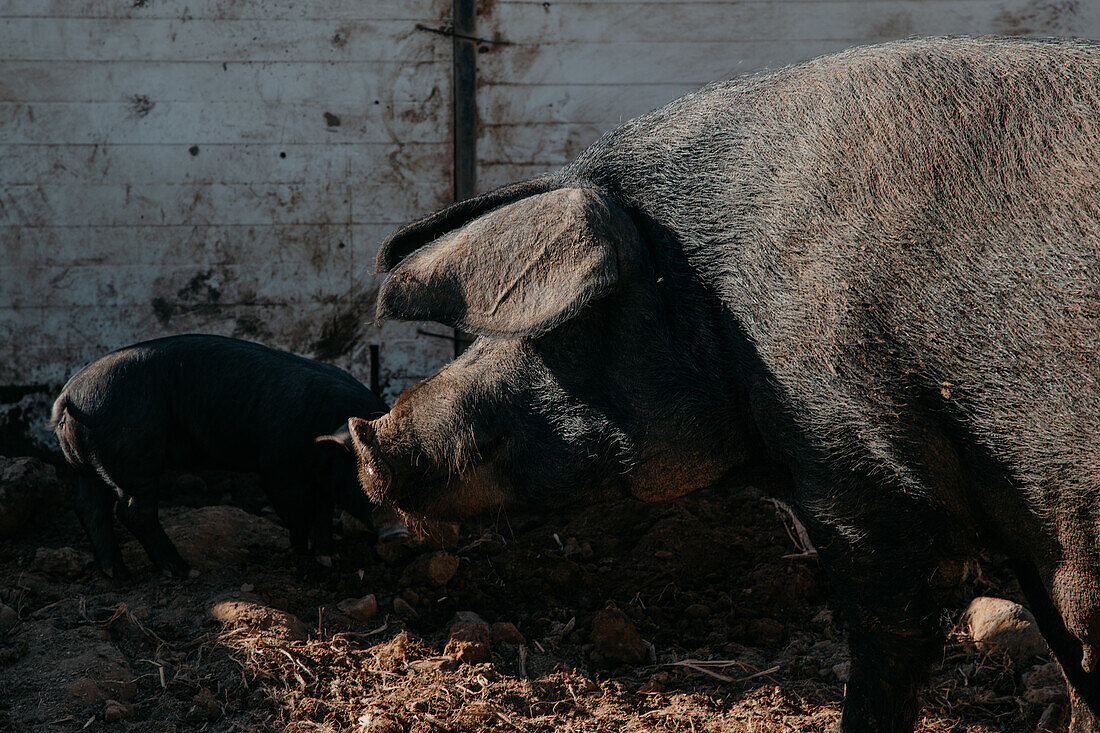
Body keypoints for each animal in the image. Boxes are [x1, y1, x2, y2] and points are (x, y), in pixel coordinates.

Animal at [52, 334, 404, 581]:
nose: (397, 531)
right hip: (134, 456)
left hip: (87, 467)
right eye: (365, 471)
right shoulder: (276, 467)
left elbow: (322, 510)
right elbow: (296, 512)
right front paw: (306, 555)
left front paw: (330, 558)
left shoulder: (322, 480)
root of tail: (69, 396)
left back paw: (119, 575)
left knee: (89, 507)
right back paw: (186, 571)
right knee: (132, 511)